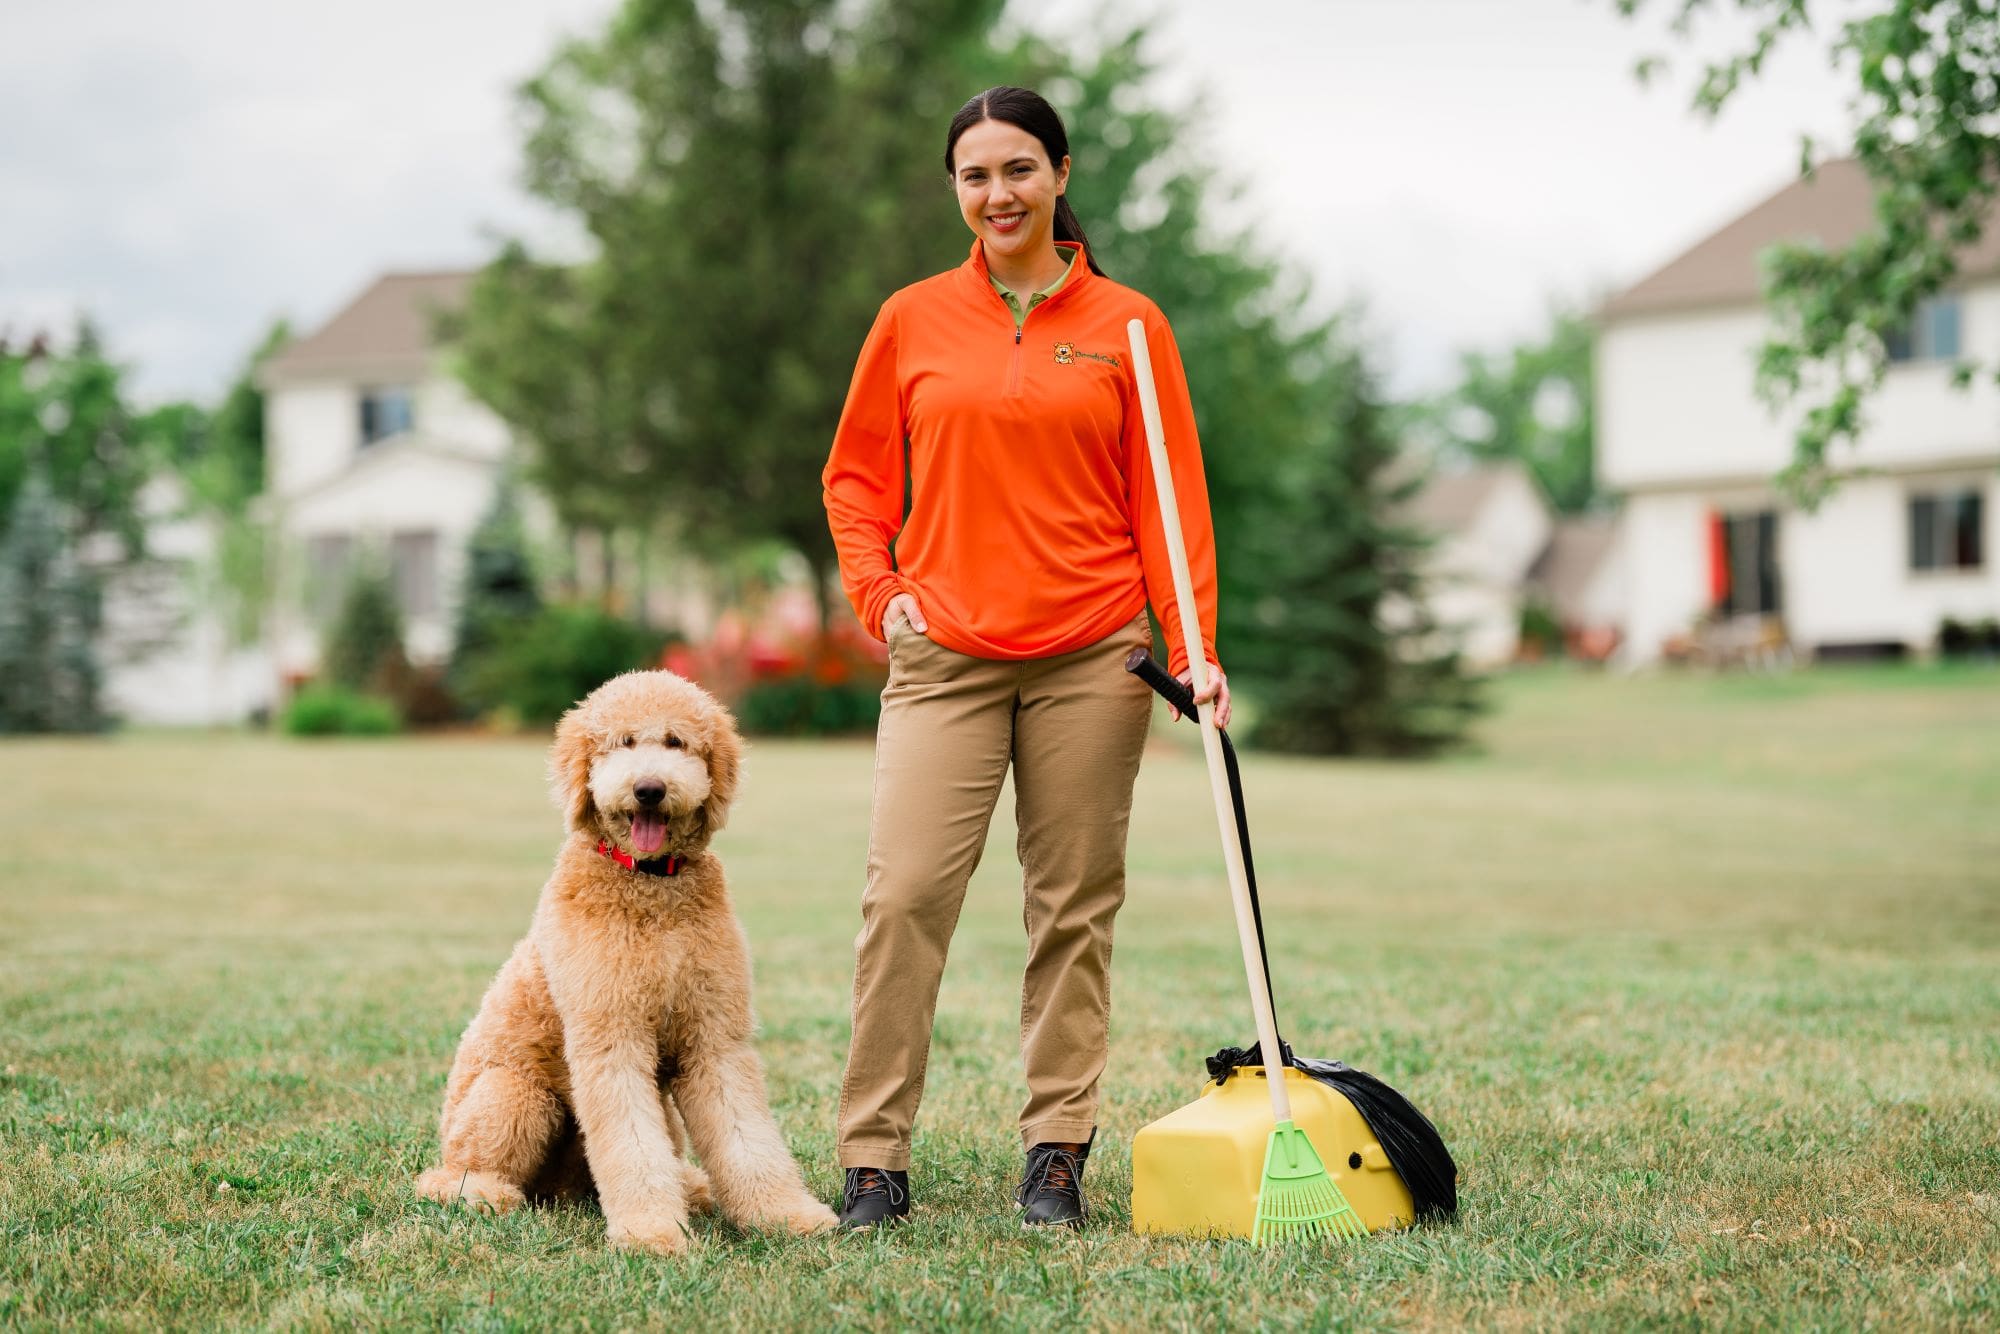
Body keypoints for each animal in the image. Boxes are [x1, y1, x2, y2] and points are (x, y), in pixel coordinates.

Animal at [416, 672, 836, 1256]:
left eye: (676, 742)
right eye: (622, 742)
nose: (649, 789)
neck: (650, 887)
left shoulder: (713, 1035)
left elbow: (745, 1133)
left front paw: (784, 1215)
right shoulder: (612, 1033)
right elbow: (632, 1145)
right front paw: (651, 1232)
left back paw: (692, 1187)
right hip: (514, 1095)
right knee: (445, 1175)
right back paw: (482, 1192)